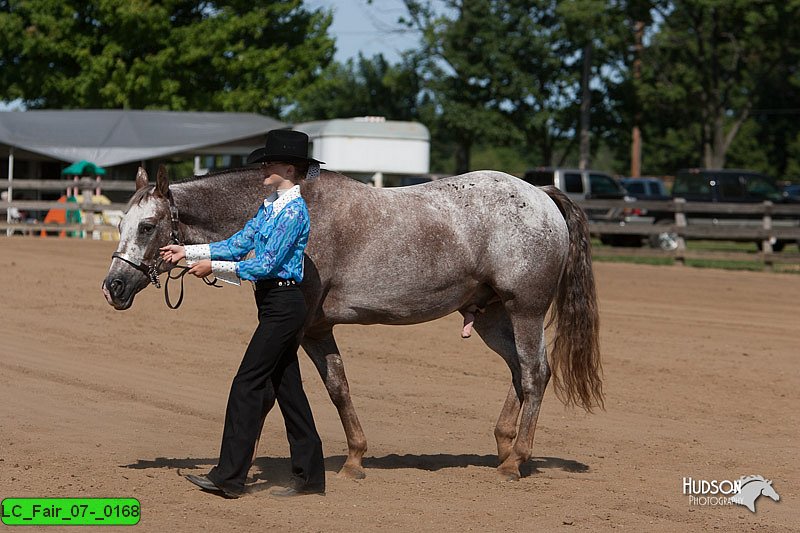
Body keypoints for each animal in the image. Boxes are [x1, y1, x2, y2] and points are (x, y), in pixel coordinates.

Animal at [101, 164, 600, 480]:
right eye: (121, 223)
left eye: (147, 226)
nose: (114, 287)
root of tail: (540, 195)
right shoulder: (317, 330)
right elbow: (337, 388)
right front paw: (355, 459)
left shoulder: (295, 329)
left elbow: (268, 391)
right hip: (493, 317)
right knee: (519, 372)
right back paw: (502, 447)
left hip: (525, 310)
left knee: (535, 374)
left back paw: (516, 462)